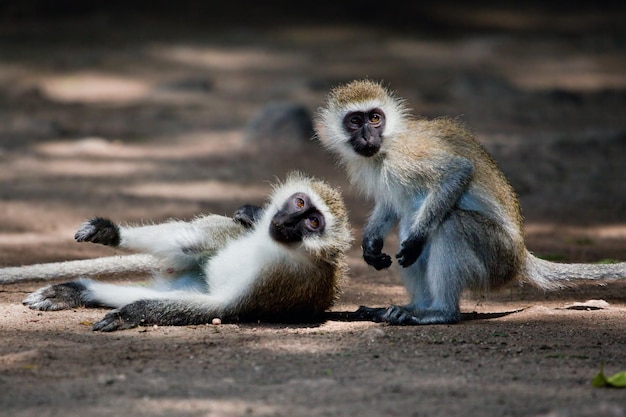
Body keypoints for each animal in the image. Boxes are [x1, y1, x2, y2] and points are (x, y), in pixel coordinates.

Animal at [23, 171, 352, 330]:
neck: (279, 247)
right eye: (299, 203)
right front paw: (109, 231)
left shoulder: (281, 280)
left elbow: (221, 308)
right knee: (192, 241)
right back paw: (79, 288)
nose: (286, 221)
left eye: (312, 222)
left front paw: (131, 313)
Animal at [316, 78, 624, 324]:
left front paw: (415, 240)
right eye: (355, 121)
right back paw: (415, 307)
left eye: (375, 119)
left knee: (448, 224)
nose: (368, 136)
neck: (385, 149)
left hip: (496, 257)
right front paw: (370, 244)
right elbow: (390, 205)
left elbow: (458, 171)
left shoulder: (407, 155)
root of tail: (521, 258)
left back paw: (440, 312)